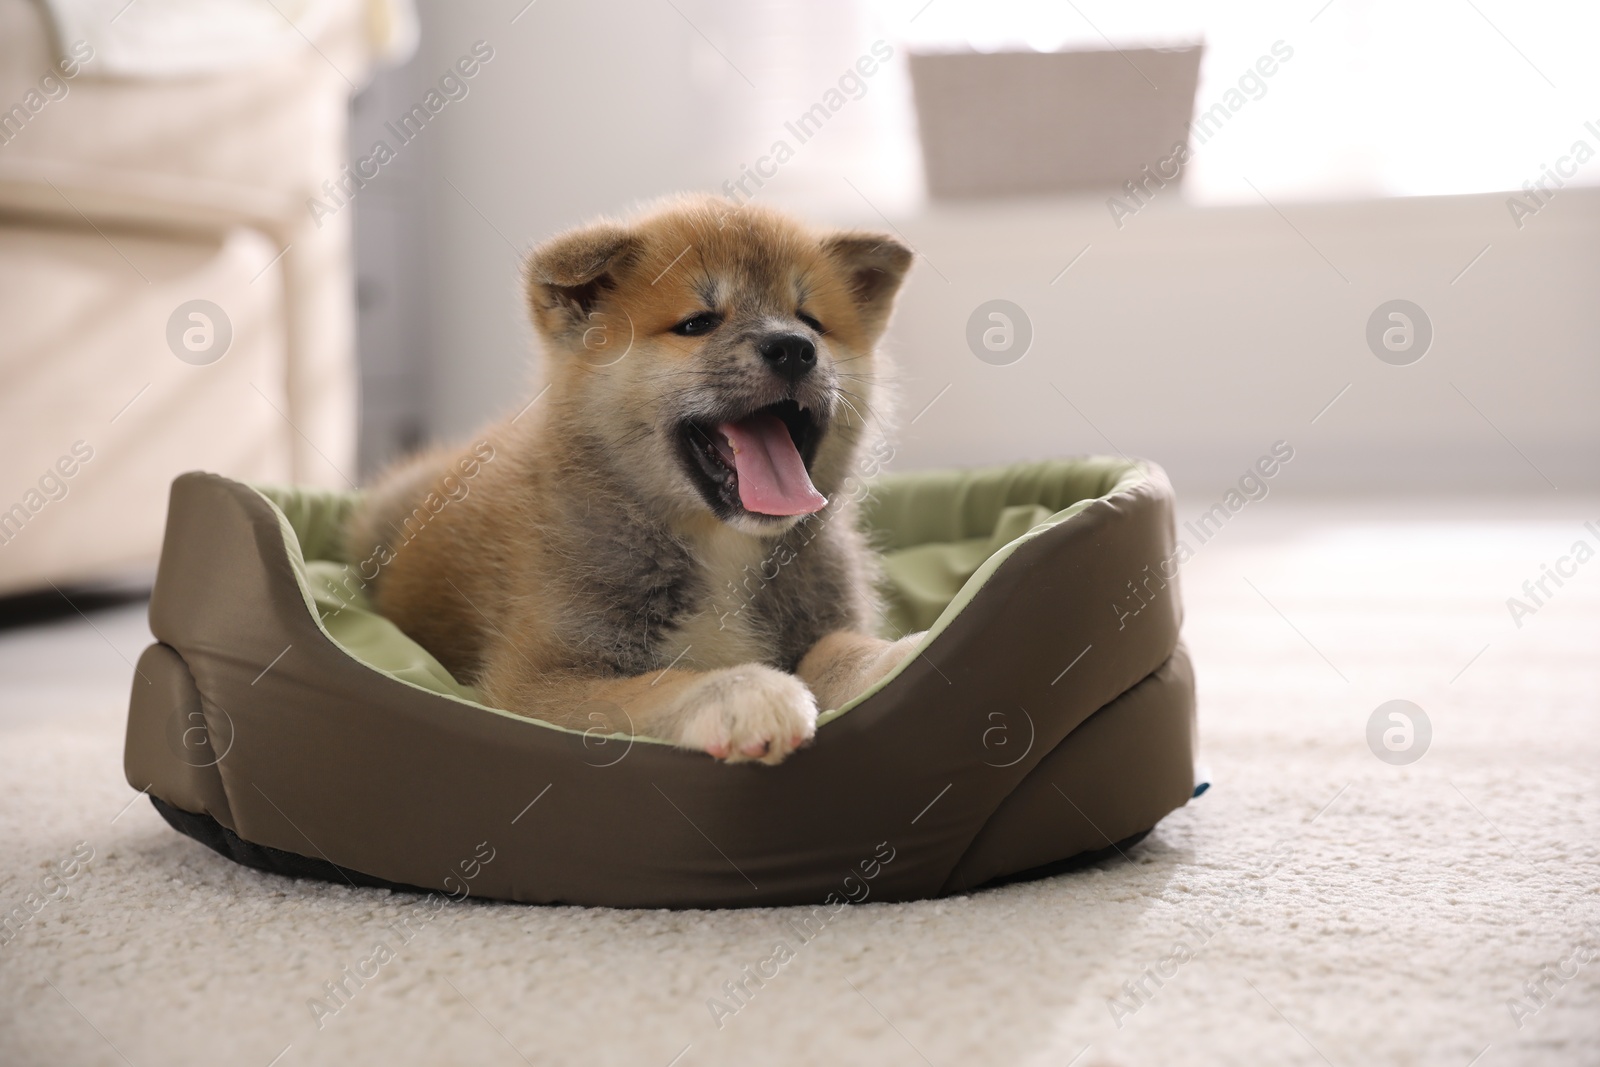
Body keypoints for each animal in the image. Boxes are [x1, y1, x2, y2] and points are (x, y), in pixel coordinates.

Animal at [350, 195, 928, 764]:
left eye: (811, 321)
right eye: (697, 323)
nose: (793, 347)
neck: (721, 547)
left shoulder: (825, 621)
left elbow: (839, 650)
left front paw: (900, 656)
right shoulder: (539, 679)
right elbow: (654, 685)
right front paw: (741, 690)